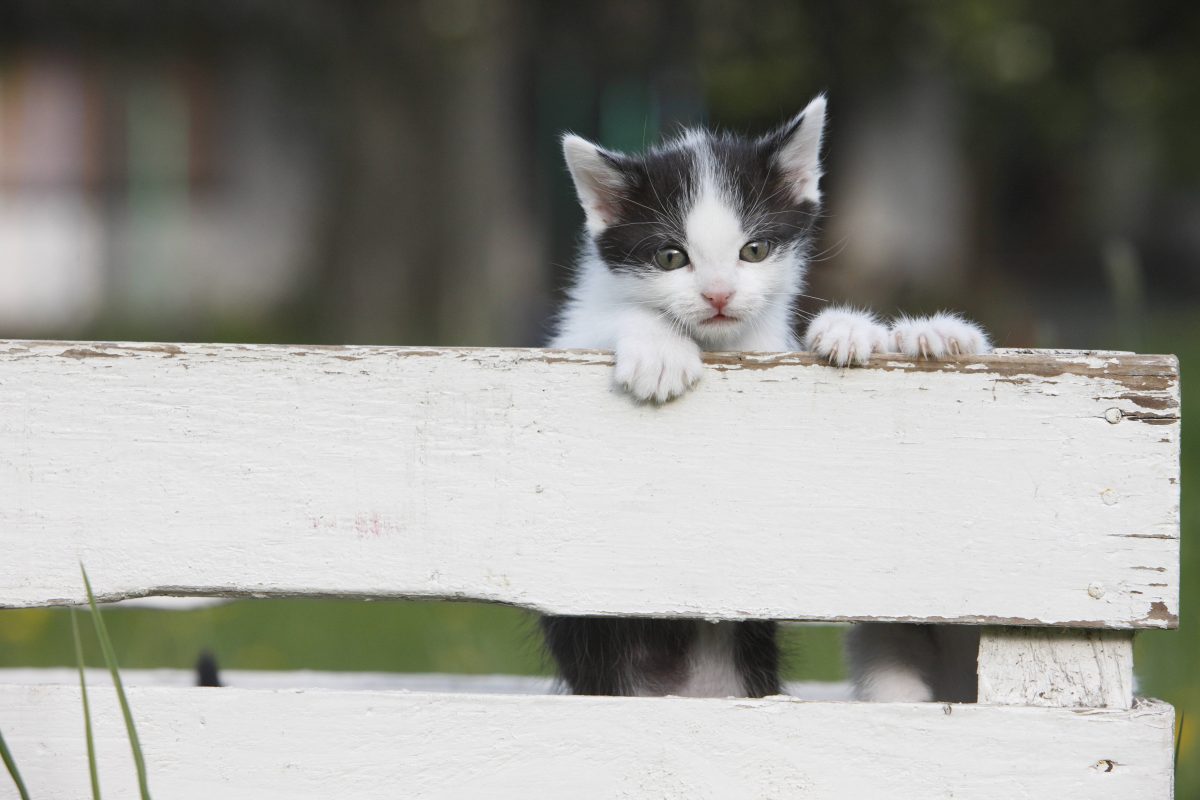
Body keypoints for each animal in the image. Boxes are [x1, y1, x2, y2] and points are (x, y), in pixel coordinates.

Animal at [549, 95, 988, 700]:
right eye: (670, 258)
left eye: (753, 251)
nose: (718, 295)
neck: (724, 348)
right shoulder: (567, 341)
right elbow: (604, 322)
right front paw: (659, 349)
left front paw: (885, 332)